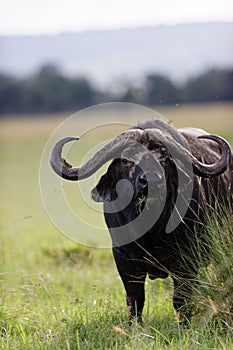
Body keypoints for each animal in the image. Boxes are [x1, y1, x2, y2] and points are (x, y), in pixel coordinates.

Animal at [49, 118, 233, 322]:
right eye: (127, 159)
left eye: (164, 156)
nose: (151, 180)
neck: (151, 230)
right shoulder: (123, 257)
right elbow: (135, 299)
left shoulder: (186, 260)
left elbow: (181, 299)